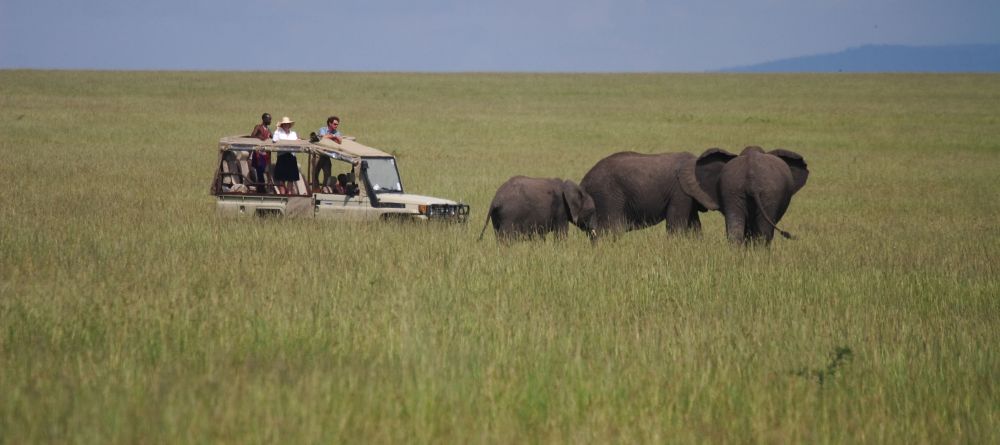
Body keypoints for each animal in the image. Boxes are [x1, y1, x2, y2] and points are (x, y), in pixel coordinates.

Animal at [580, 151, 720, 234]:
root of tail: (583, 182)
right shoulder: (680, 192)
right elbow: (675, 226)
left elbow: (695, 225)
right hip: (607, 196)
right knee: (610, 229)